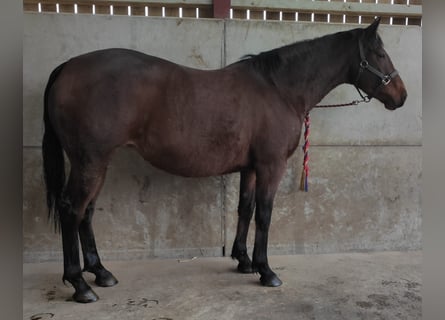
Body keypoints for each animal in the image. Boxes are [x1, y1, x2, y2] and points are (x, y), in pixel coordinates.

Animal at [41, 17, 406, 302]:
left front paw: (243, 260)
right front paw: (266, 270)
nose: (401, 96)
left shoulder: (250, 167)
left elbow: (245, 209)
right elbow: (264, 215)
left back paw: (100, 272)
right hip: (91, 161)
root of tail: (68, 66)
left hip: (95, 163)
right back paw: (80, 285)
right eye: (379, 54)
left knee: (86, 212)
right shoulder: (271, 165)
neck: (278, 89)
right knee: (72, 210)